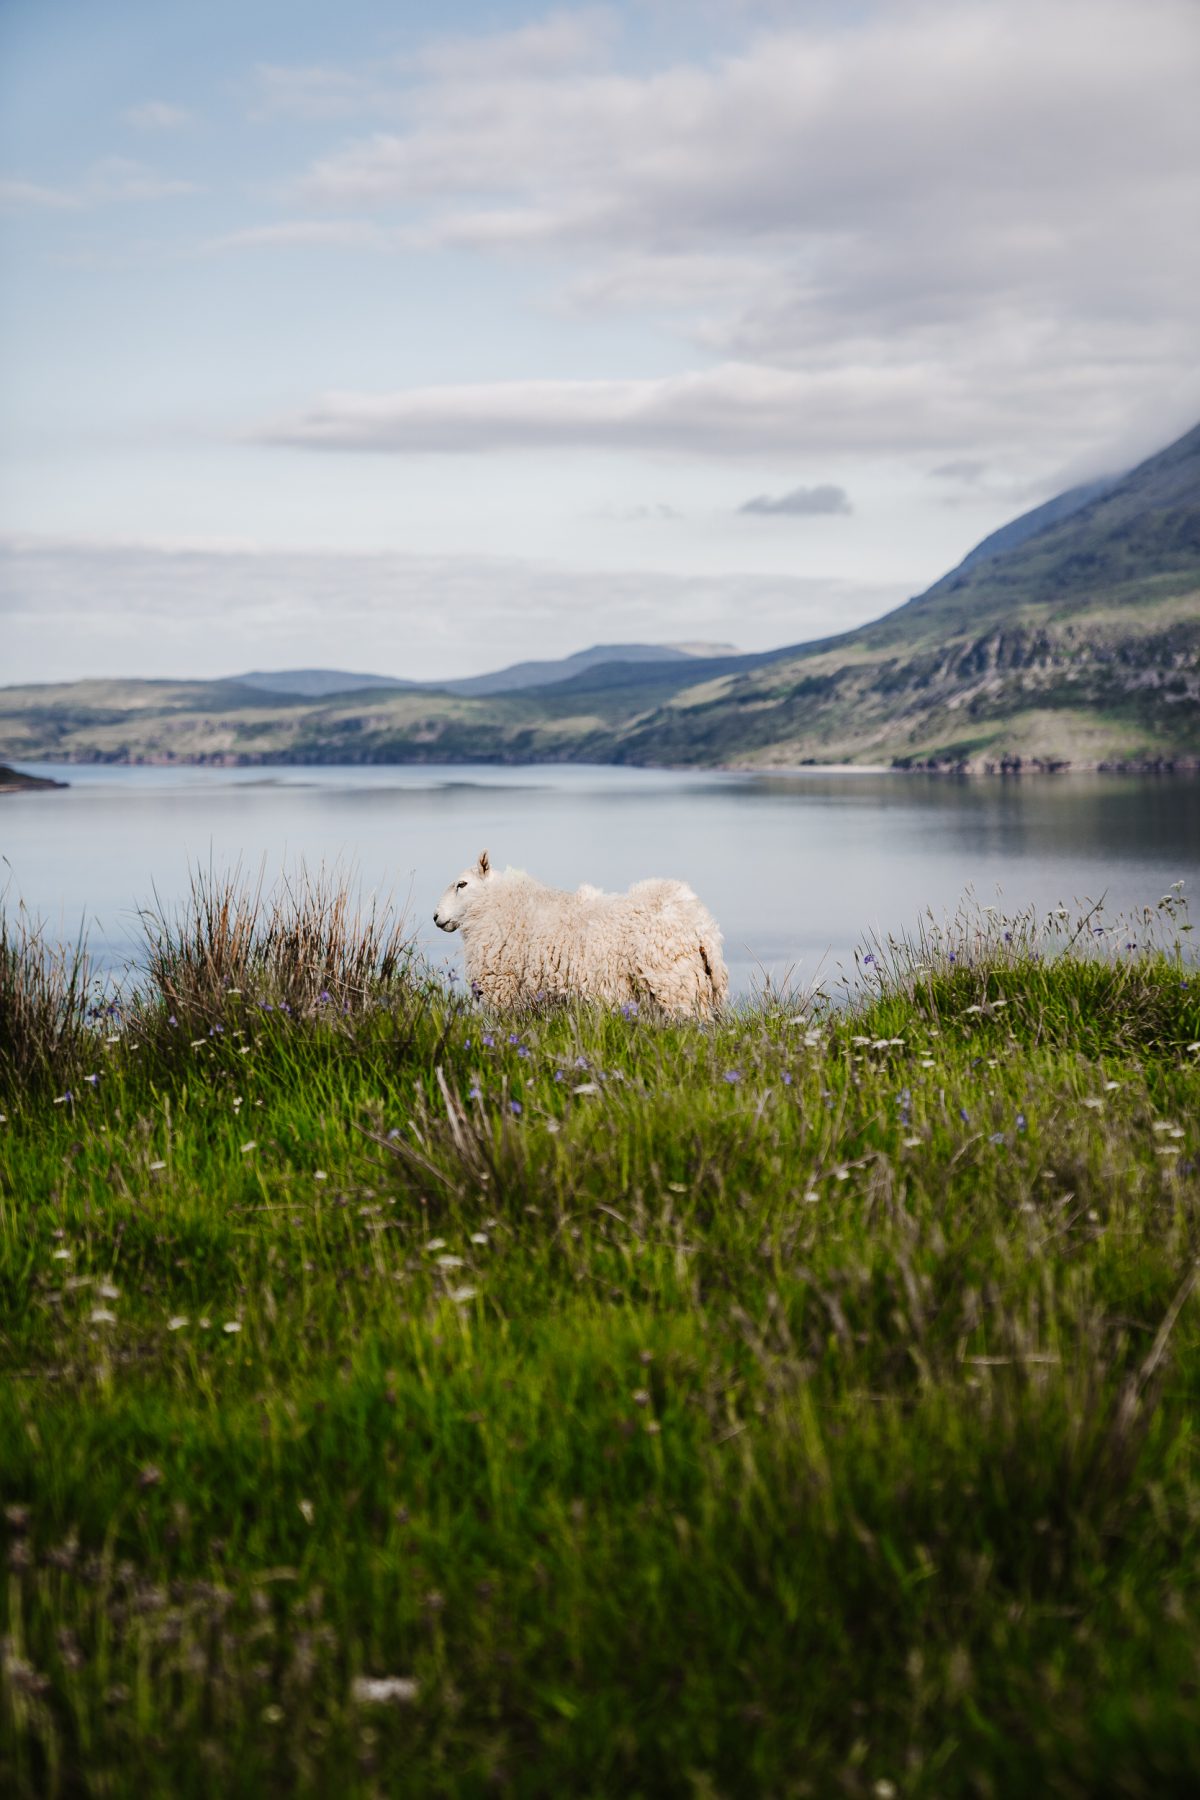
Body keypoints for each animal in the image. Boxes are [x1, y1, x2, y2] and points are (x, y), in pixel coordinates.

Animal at [433, 849, 726, 1022]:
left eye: (462, 884)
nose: (436, 917)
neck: (496, 905)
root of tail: (703, 927)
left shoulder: (503, 992)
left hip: (677, 988)